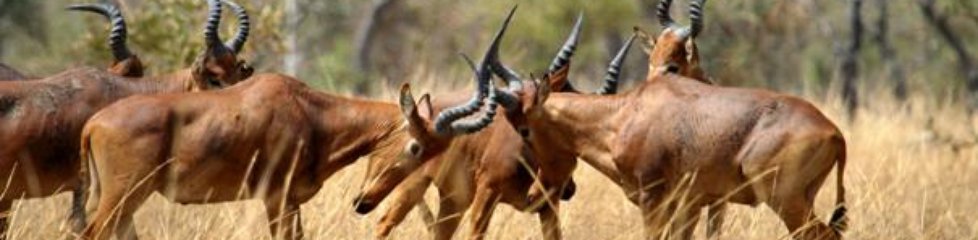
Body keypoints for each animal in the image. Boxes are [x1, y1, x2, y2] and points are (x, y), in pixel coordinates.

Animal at [78, 8, 510, 239]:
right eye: (415, 146)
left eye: (436, 152)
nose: (364, 203)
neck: (307, 108)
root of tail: (93, 125)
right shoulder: (276, 199)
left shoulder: (291, 202)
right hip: (122, 195)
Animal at [350, 8, 632, 238]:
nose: (568, 190)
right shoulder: (487, 194)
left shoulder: (548, 208)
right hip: (412, 186)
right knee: (384, 222)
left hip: (453, 201)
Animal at [488, 0, 848, 238]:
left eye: (524, 130)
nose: (534, 196)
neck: (626, 113)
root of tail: (835, 132)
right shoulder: (688, 204)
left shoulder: (655, 201)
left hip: (788, 203)